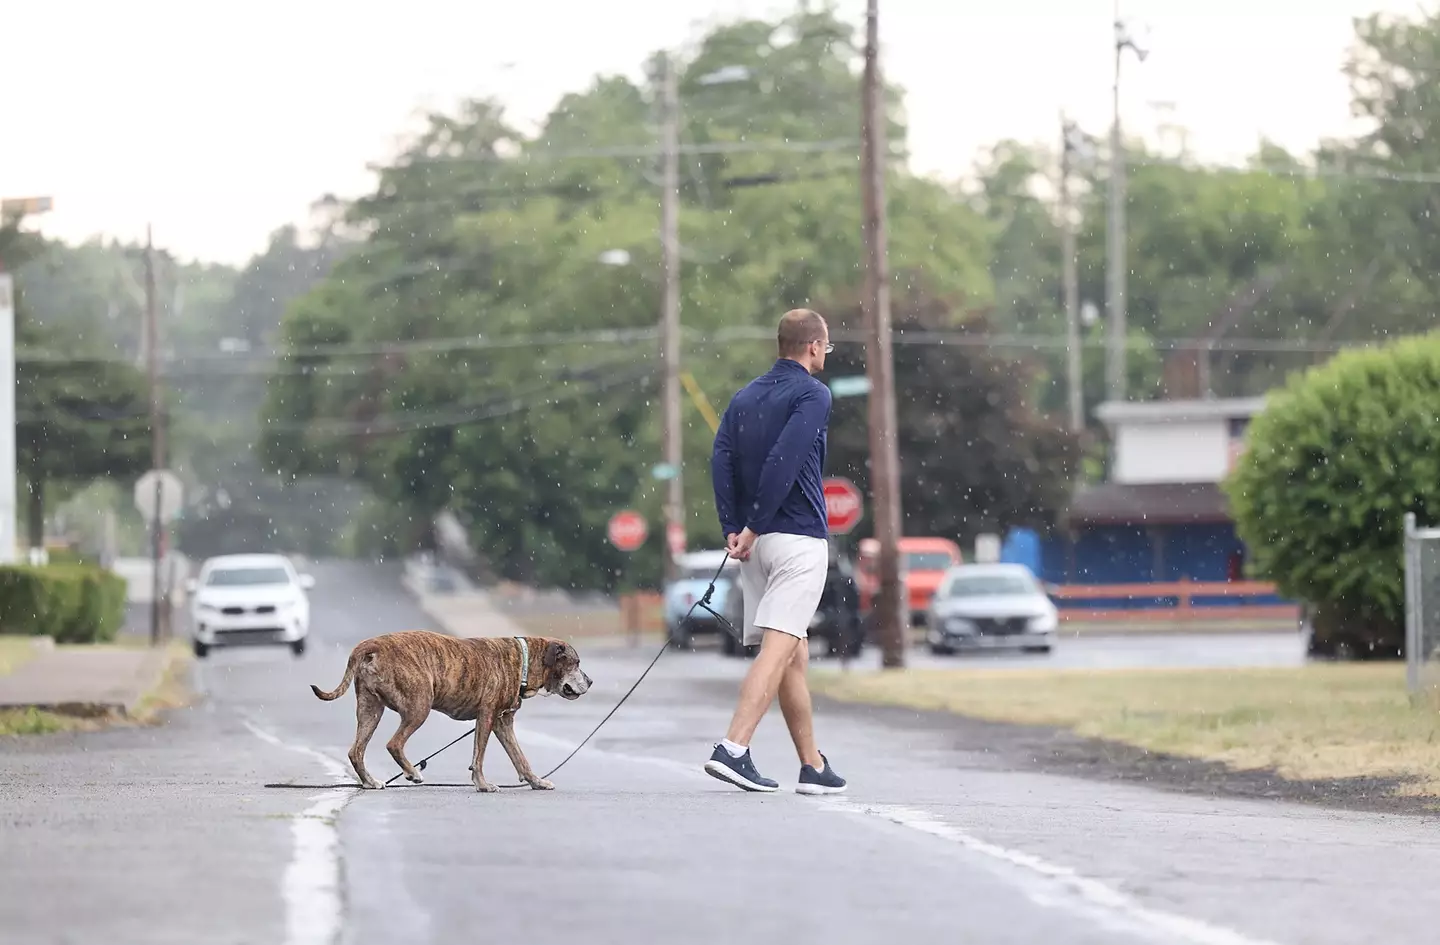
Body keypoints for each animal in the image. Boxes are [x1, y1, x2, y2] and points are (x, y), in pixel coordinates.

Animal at [309, 630, 590, 795]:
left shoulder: (503, 722)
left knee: (356, 750)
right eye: (576, 663)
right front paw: (482, 784)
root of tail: (371, 644)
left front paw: (536, 781)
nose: (590, 681)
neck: (523, 660)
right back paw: (412, 773)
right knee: (394, 743)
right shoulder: (487, 716)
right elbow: (479, 756)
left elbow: (519, 756)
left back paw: (370, 781)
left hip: (370, 709)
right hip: (419, 706)